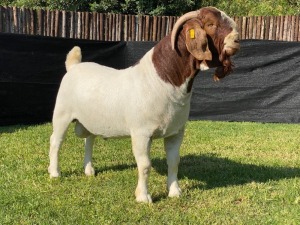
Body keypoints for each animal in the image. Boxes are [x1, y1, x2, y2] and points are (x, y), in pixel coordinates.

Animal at [49, 6, 241, 202]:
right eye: (210, 24)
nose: (236, 39)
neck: (159, 81)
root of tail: (74, 66)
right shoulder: (141, 133)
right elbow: (145, 164)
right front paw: (143, 197)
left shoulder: (176, 132)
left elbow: (174, 162)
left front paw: (175, 192)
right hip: (62, 114)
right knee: (56, 141)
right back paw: (55, 173)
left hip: (90, 120)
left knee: (89, 139)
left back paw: (89, 170)